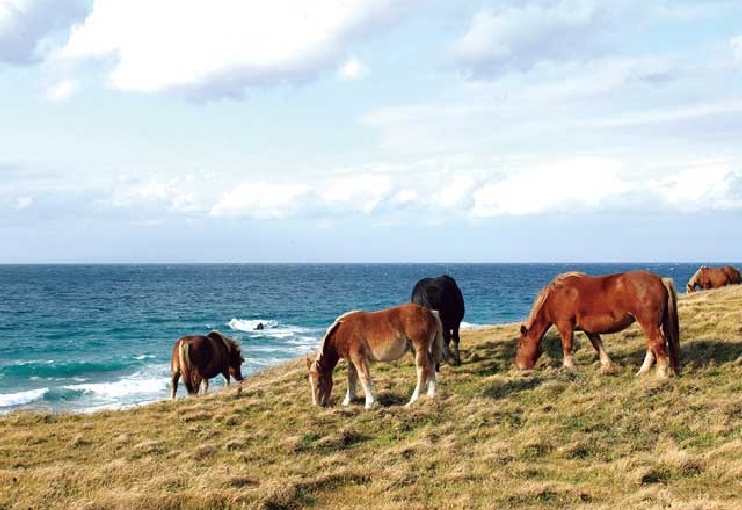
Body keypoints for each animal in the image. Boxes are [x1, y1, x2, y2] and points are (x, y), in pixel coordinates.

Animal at [306, 302, 444, 410]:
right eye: (310, 383)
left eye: (319, 383)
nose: (316, 405)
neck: (343, 332)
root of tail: (431, 313)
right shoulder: (351, 361)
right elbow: (351, 378)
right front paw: (348, 401)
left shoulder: (359, 358)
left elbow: (364, 377)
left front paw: (370, 403)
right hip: (417, 349)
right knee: (430, 365)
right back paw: (431, 395)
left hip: (419, 348)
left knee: (422, 370)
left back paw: (413, 400)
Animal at [516, 272, 680, 376]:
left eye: (520, 345)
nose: (519, 367)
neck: (555, 297)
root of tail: (660, 280)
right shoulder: (589, 329)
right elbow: (598, 345)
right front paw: (607, 365)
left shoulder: (565, 327)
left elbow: (567, 347)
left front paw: (568, 368)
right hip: (649, 325)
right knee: (651, 344)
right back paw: (643, 370)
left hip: (648, 323)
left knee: (657, 342)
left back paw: (661, 374)